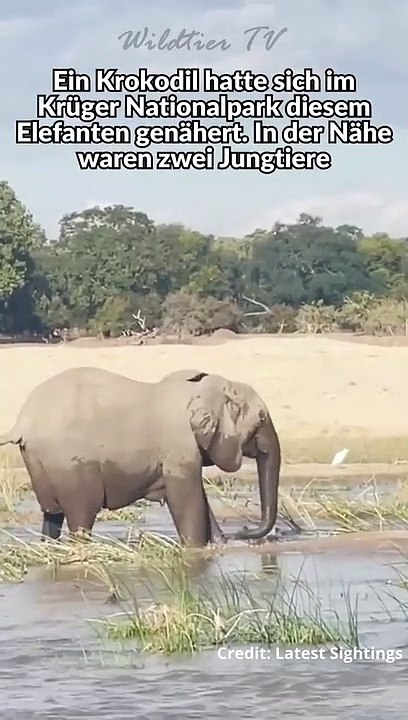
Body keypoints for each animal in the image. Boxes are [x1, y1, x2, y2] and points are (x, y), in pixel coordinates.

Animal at [0, 366, 281, 547]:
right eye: (261, 420)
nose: (242, 530)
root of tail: (22, 422)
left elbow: (198, 498)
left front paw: (217, 546)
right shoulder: (179, 448)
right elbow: (186, 500)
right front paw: (196, 550)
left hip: (40, 461)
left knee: (52, 514)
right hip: (68, 462)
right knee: (81, 516)